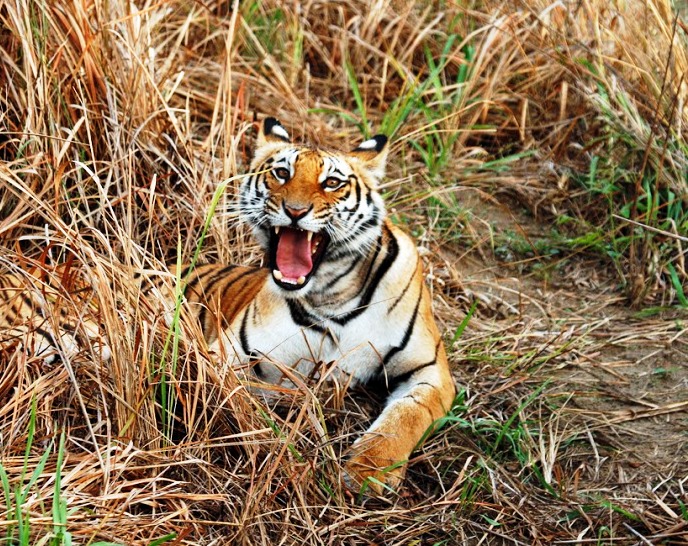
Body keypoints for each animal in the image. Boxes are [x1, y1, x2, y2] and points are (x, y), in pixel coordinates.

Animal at [175, 118, 456, 488]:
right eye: (282, 173)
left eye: (332, 182)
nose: (295, 211)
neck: (334, 294)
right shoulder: (225, 355)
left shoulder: (430, 369)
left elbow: (407, 415)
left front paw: (369, 470)